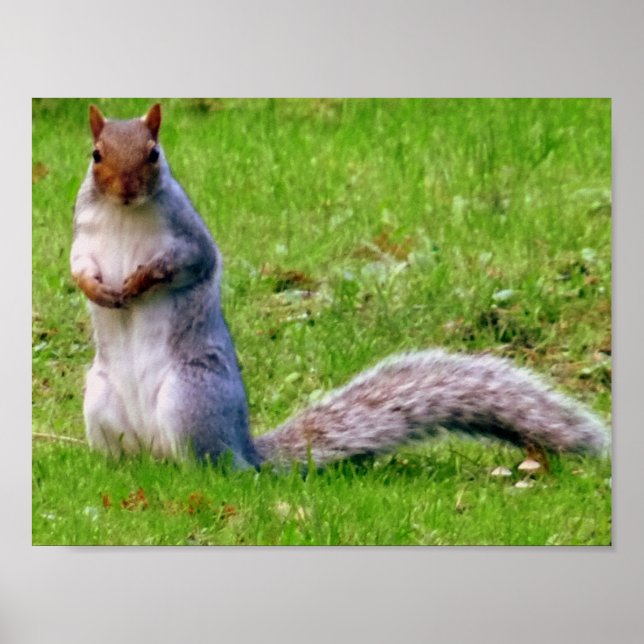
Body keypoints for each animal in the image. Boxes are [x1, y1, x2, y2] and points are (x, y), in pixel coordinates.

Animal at [70, 103, 609, 469]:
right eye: (96, 155)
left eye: (154, 154)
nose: (126, 189)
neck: (124, 215)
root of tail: (245, 452)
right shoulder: (83, 236)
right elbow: (77, 268)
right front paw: (99, 291)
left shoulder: (188, 238)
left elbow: (185, 264)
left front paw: (138, 282)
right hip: (100, 401)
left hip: (187, 400)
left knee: (204, 466)